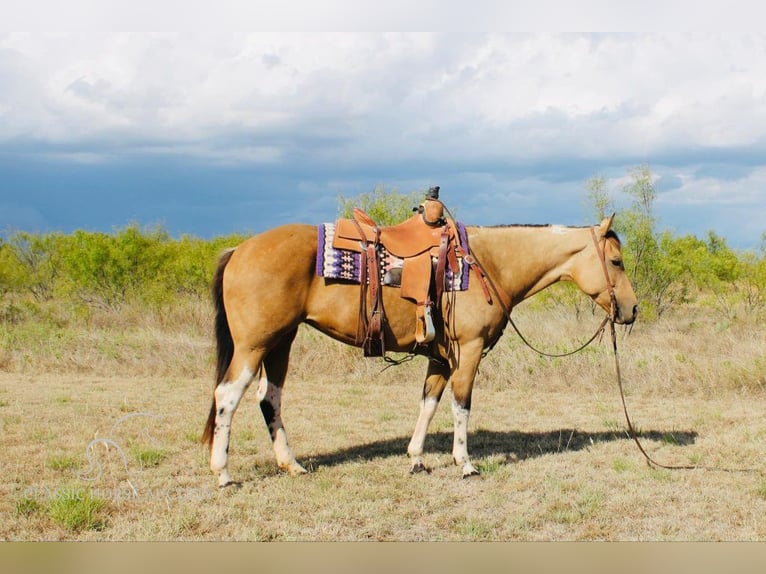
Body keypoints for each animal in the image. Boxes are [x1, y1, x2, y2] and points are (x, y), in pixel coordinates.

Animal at [201, 209, 640, 488]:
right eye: (616, 261)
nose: (633, 309)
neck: (489, 264)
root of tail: (239, 250)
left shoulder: (440, 358)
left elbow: (428, 404)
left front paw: (415, 459)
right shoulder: (468, 351)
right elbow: (461, 406)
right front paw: (465, 464)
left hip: (281, 342)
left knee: (269, 398)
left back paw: (291, 465)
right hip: (254, 345)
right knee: (228, 395)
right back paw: (223, 473)